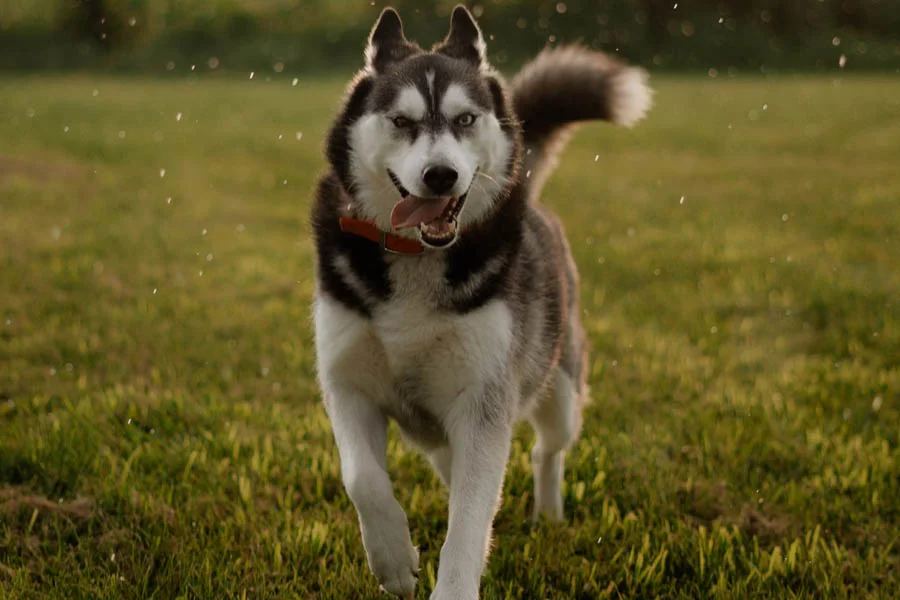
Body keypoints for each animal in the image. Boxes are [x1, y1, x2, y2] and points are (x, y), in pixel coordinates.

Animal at [312, 5, 652, 600]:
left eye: (466, 119)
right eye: (401, 122)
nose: (440, 174)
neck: (417, 257)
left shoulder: (484, 405)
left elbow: (470, 524)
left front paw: (451, 580)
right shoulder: (346, 381)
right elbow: (362, 479)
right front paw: (393, 559)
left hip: (560, 385)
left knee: (546, 449)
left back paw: (549, 513)